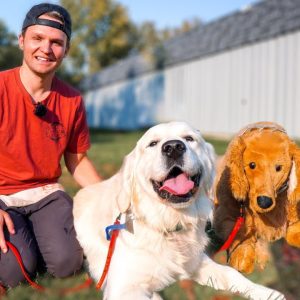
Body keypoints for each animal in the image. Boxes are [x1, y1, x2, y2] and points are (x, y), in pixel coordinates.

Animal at [74, 120, 284, 298]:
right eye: (152, 143)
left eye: (189, 138)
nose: (173, 147)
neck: (170, 221)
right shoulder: (123, 287)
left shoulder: (197, 262)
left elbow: (231, 273)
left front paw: (268, 292)